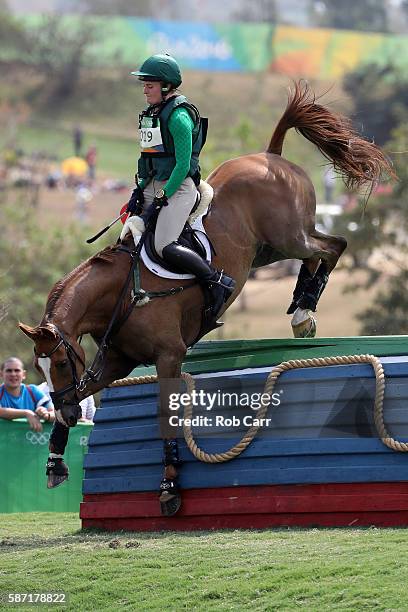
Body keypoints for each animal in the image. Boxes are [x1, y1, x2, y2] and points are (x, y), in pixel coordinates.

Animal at [19, 80, 396, 512]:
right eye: (39, 370)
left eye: (61, 362)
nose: (64, 412)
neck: (122, 293)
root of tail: (271, 155)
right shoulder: (117, 362)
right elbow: (86, 394)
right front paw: (55, 459)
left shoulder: (168, 356)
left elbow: (165, 417)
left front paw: (169, 486)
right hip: (267, 250)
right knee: (319, 253)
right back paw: (302, 307)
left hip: (289, 235)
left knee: (333, 246)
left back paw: (304, 309)